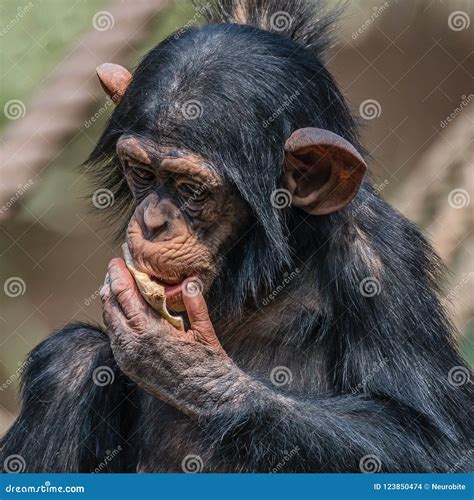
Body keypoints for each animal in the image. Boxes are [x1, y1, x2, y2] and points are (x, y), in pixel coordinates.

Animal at [1, 0, 472, 470]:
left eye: (191, 190)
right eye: (141, 173)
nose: (153, 222)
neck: (266, 272)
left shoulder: (381, 260)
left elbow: (438, 443)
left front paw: (185, 365)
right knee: (72, 360)